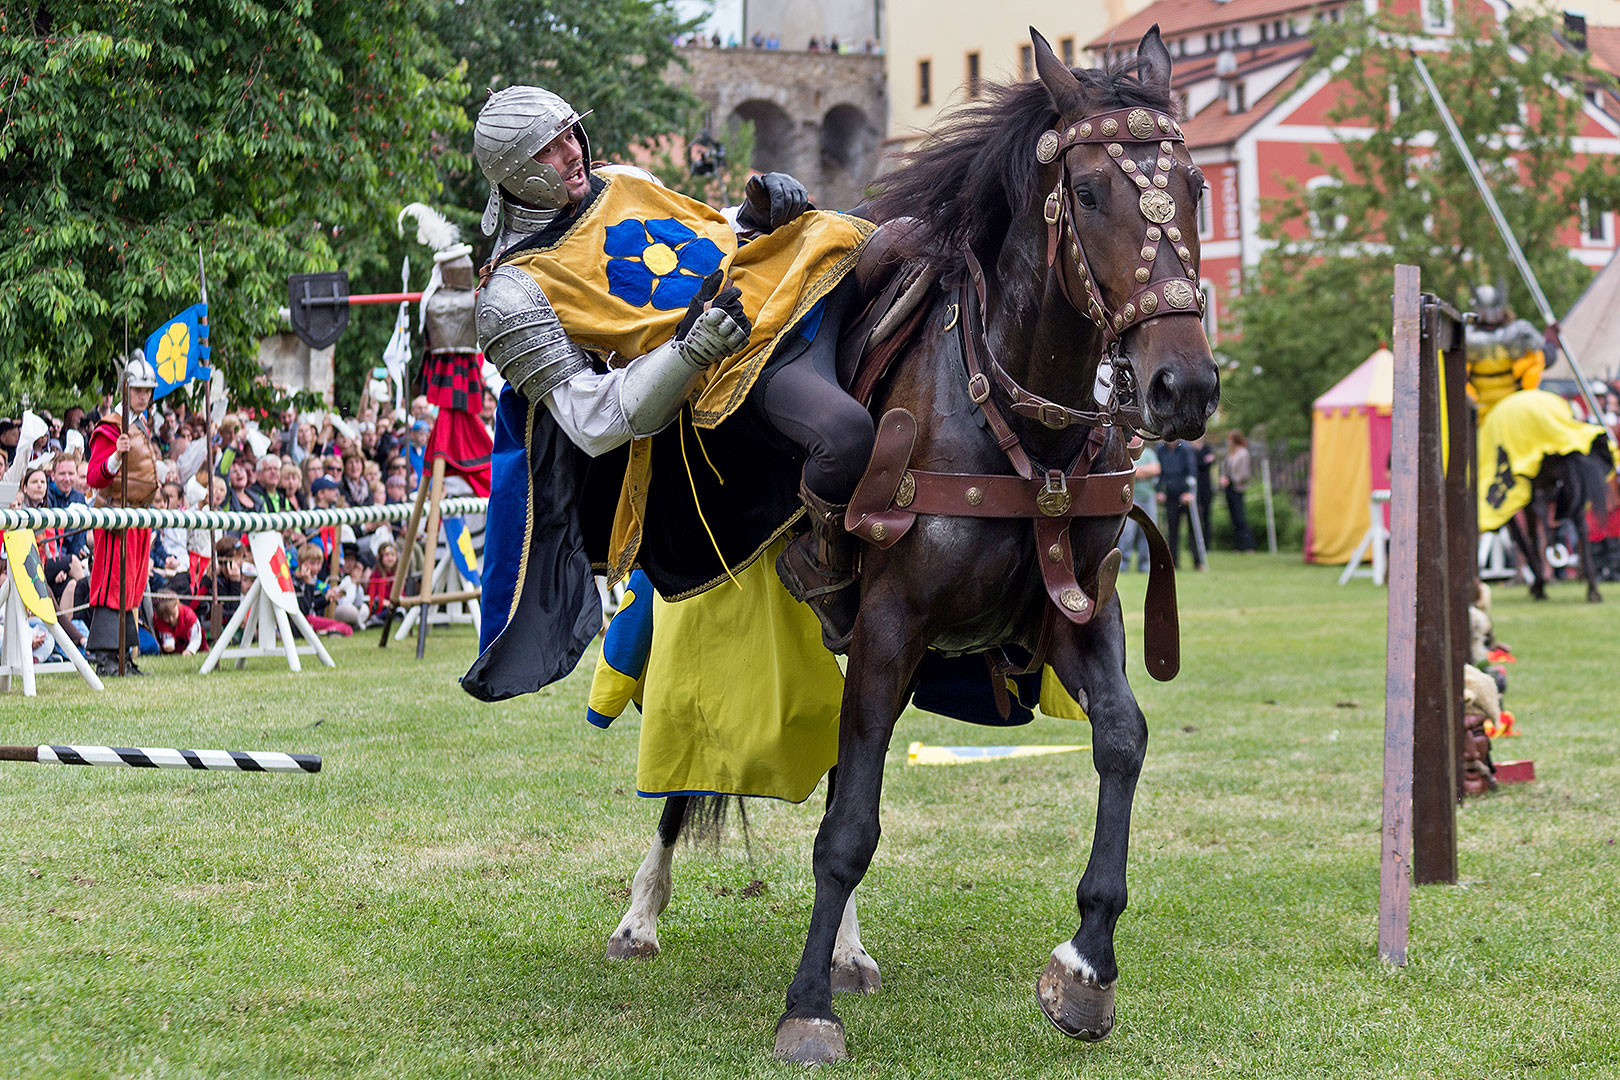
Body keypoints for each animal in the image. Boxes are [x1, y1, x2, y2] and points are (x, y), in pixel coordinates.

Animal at [771, 27, 1218, 1062]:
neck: (1022, 422)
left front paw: (1087, 965)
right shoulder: (891, 631)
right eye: (1087, 191)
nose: (1182, 386)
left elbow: (1123, 739)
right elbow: (849, 829)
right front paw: (807, 1005)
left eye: (1194, 186)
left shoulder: (1077, 615)